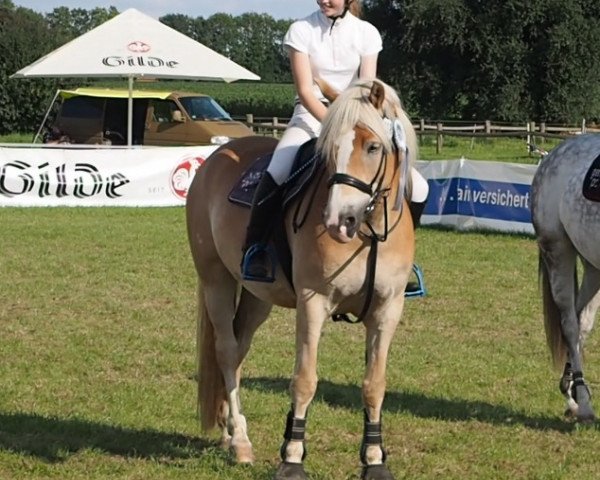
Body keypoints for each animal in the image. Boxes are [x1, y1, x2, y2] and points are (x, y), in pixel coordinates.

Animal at [186, 77, 418, 478]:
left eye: (373, 146)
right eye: (330, 150)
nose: (338, 220)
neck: (367, 230)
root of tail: (216, 156)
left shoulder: (388, 309)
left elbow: (374, 384)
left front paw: (374, 459)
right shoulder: (313, 303)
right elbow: (305, 380)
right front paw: (292, 457)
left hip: (257, 295)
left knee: (238, 347)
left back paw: (229, 433)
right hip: (216, 280)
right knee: (226, 351)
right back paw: (241, 441)